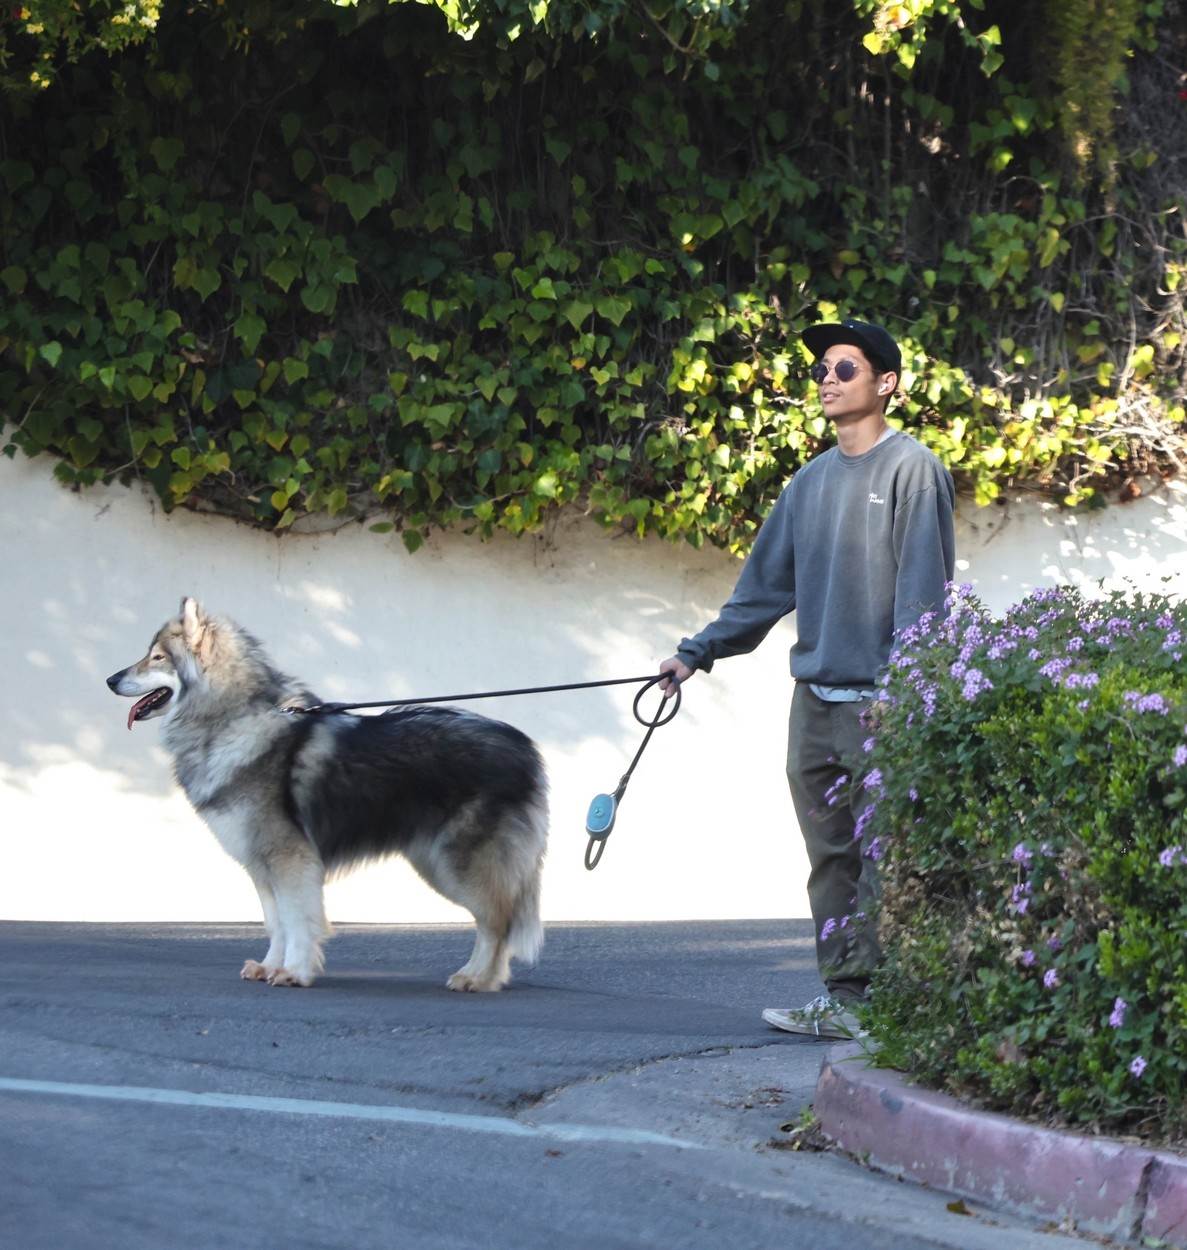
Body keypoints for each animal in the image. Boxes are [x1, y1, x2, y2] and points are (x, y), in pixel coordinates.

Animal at [106, 600, 547, 990]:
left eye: (157, 657)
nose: (110, 680)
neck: (237, 719)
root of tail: (525, 749)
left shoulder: (291, 859)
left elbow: (299, 920)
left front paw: (295, 972)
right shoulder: (262, 865)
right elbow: (276, 922)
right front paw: (270, 967)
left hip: (456, 864)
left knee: (497, 921)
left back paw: (478, 979)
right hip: (437, 861)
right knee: (494, 920)